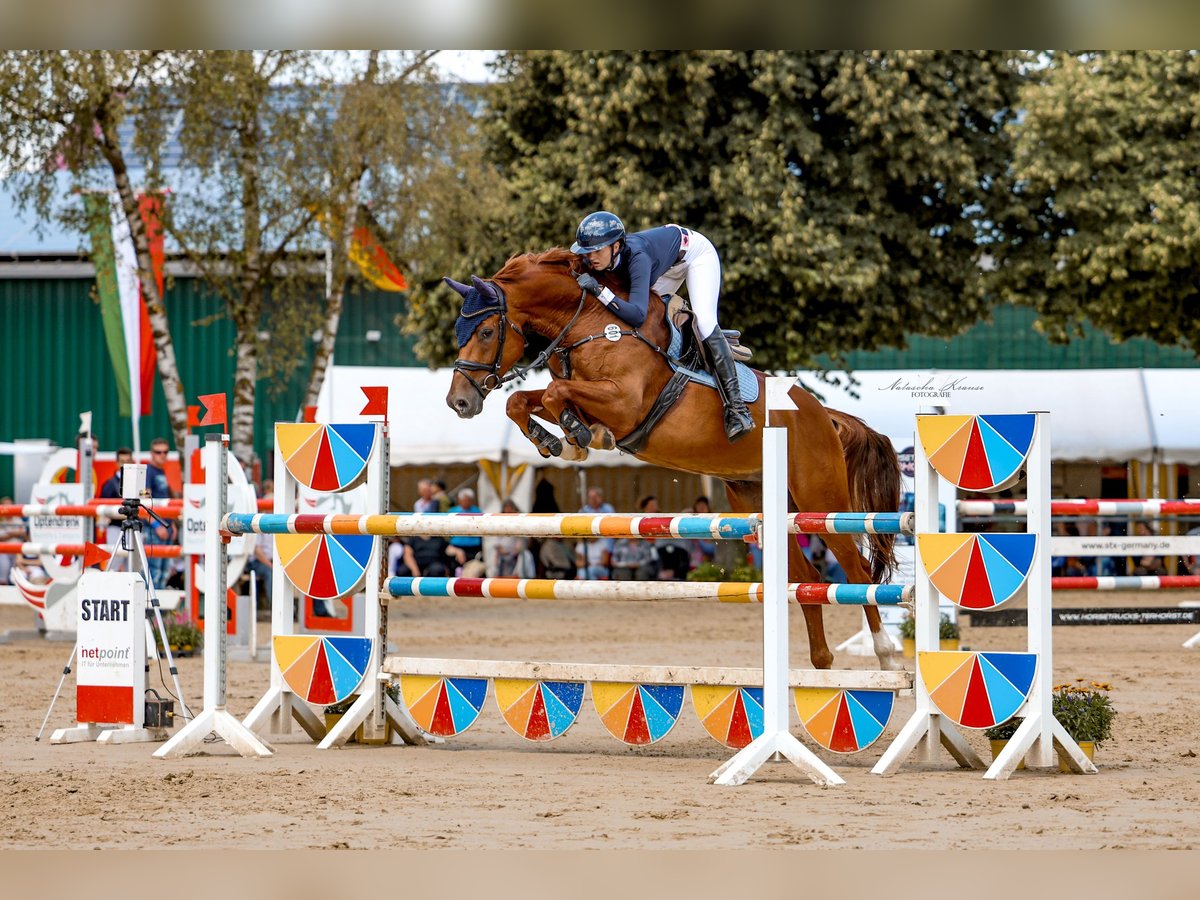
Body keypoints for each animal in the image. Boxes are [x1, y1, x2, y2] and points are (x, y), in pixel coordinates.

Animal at [446, 250, 902, 672]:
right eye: (459, 331)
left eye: (486, 330)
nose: (458, 402)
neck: (591, 324)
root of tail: (824, 414)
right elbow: (524, 400)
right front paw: (560, 441)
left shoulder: (624, 402)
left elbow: (558, 395)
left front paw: (580, 437)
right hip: (762, 501)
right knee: (808, 579)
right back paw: (821, 666)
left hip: (820, 500)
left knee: (858, 573)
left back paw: (886, 658)